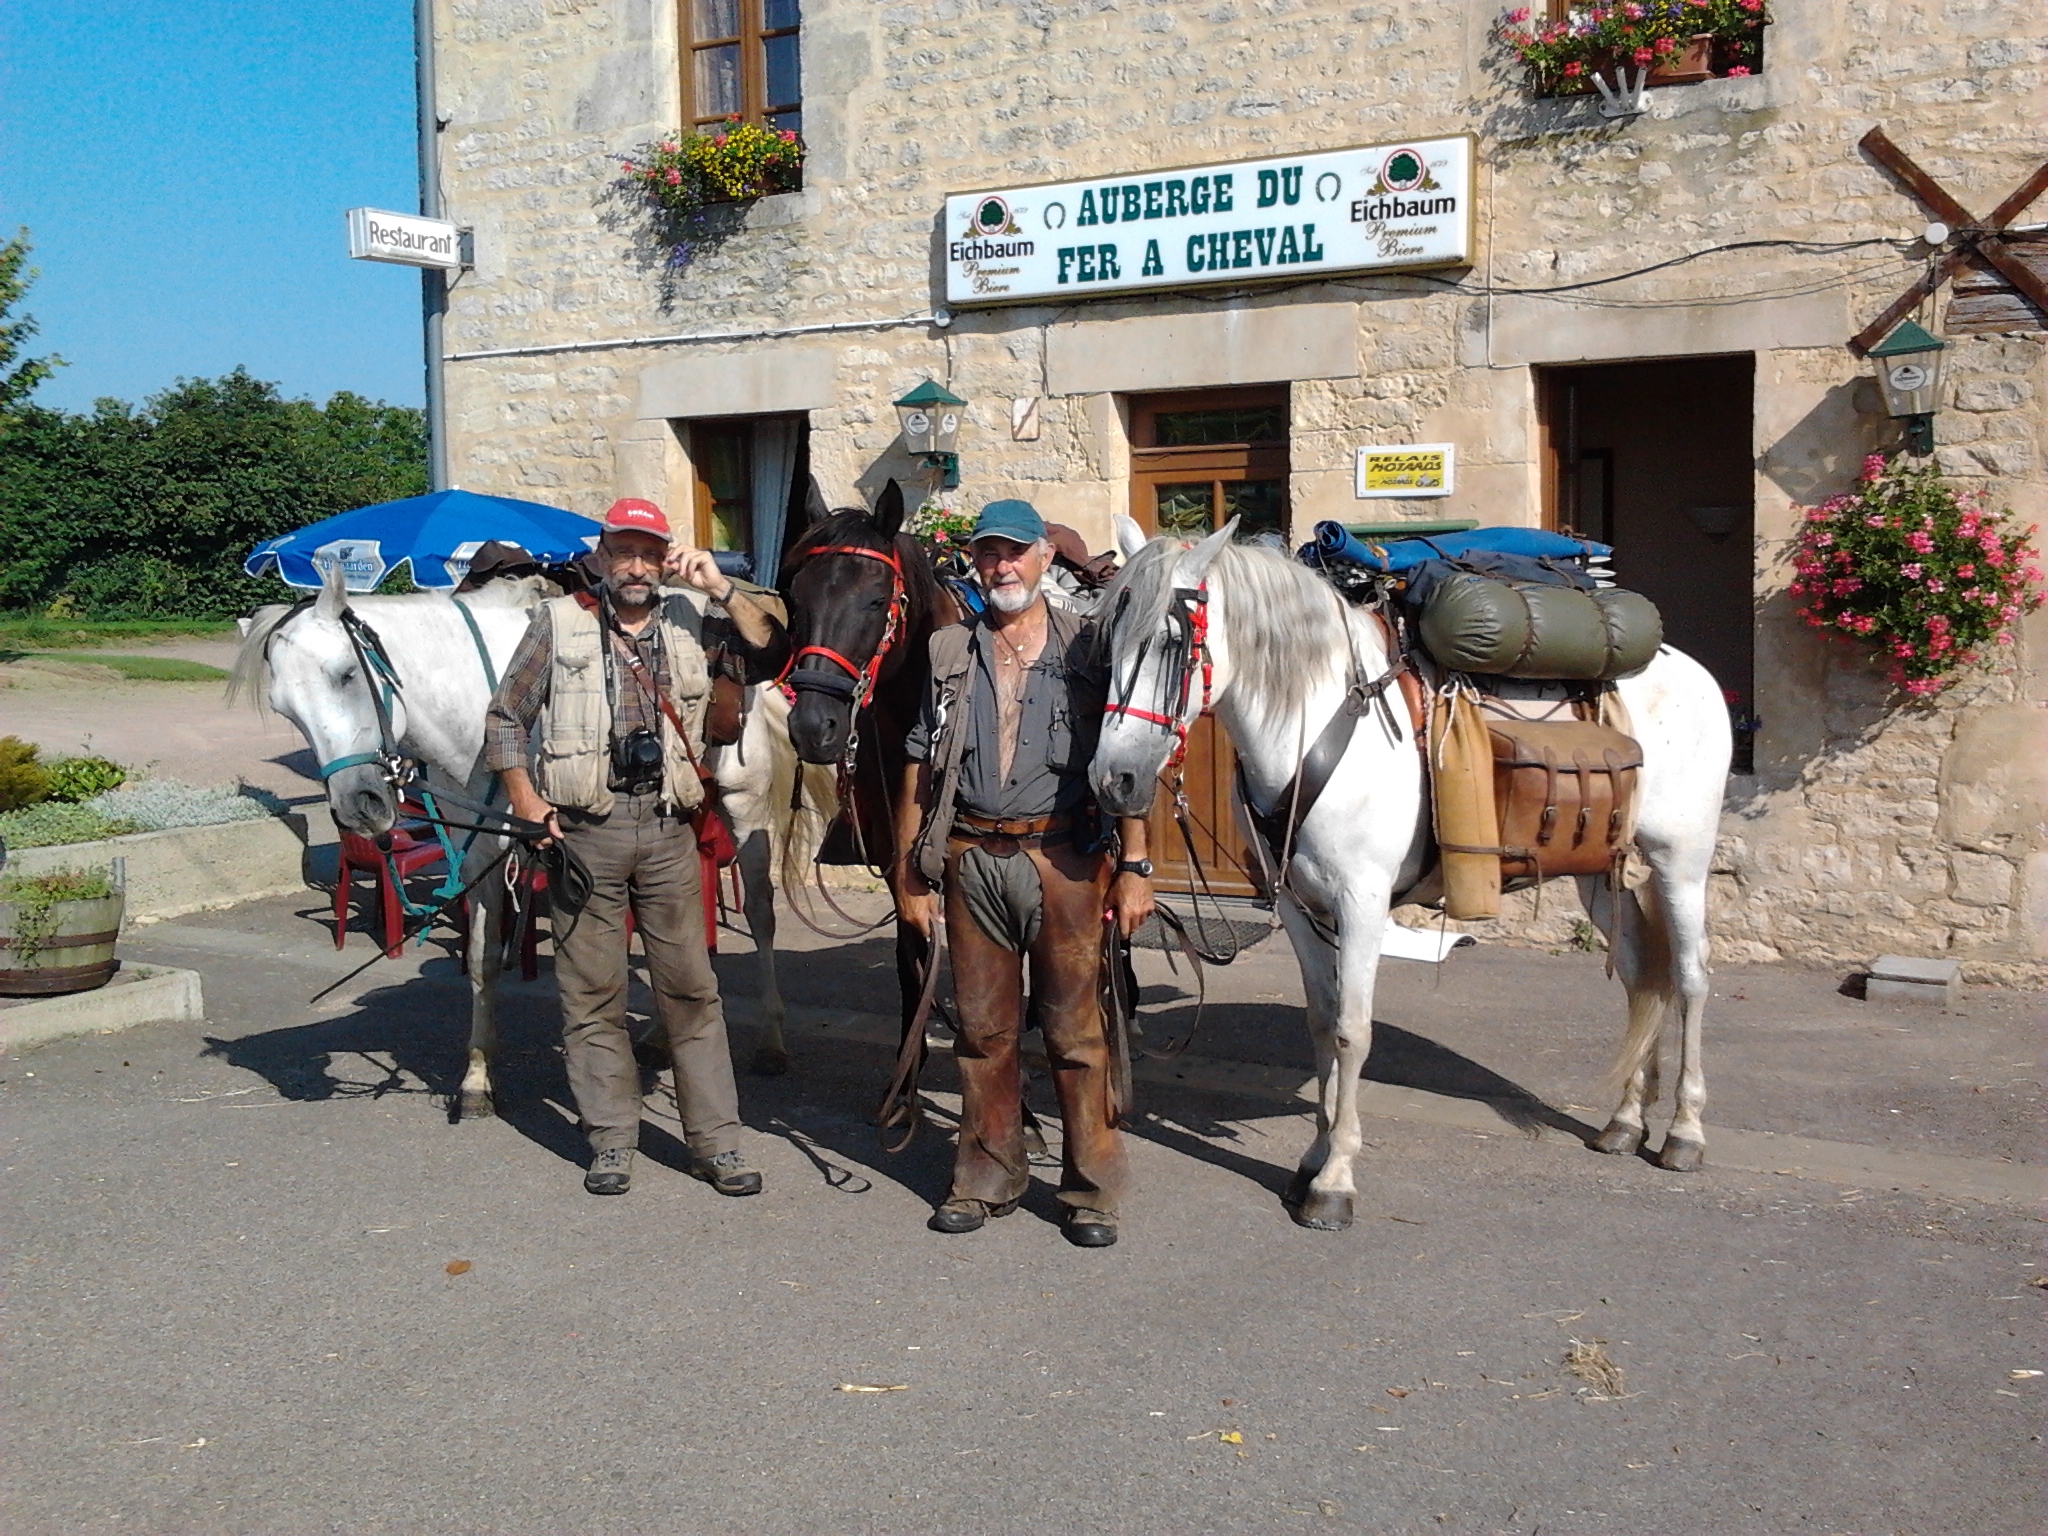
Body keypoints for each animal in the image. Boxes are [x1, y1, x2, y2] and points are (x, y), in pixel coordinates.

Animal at [241, 565, 839, 1122]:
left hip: (742, 808)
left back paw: (770, 1040)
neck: (477, 704)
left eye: (346, 675)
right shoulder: (483, 853)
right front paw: (477, 1079)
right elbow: (482, 959)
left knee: (760, 914)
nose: (358, 806)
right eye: (284, 708)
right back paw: (660, 1037)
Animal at [1089, 524, 1728, 1236]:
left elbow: (1353, 1030)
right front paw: (1311, 1159)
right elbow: (1322, 1022)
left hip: (1681, 859)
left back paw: (1685, 1132)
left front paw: (1335, 1180)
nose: (1113, 780)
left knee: (1691, 977)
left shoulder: (1363, 902)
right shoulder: (1298, 907)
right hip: (1597, 873)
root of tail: (1684, 666)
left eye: (1171, 642)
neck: (1318, 719)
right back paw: (1624, 1122)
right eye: (1107, 638)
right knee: (1644, 972)